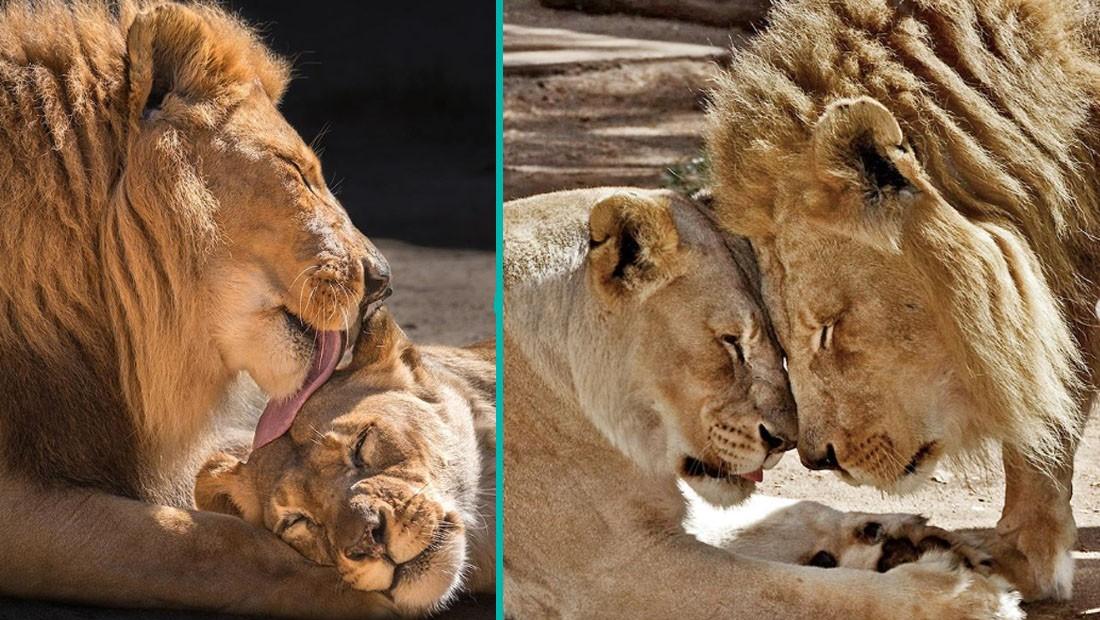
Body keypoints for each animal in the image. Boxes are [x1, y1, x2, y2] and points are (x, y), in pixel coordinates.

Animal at [503, 187, 1016, 620]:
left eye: (777, 338)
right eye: (732, 342)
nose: (784, 442)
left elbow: (783, 513)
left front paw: (901, 536)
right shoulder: (619, 572)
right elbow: (806, 592)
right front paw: (966, 599)